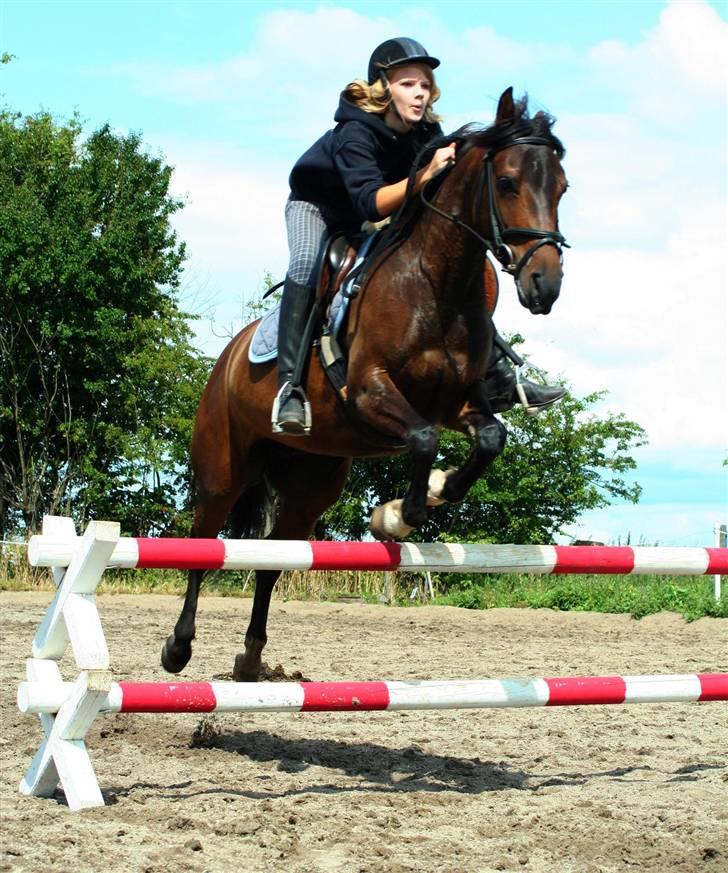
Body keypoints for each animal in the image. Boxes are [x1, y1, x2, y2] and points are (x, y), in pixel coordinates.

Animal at [161, 88, 568, 676]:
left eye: (562, 187)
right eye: (509, 182)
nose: (545, 285)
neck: (435, 281)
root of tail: (228, 356)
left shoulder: (458, 404)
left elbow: (490, 437)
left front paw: (428, 495)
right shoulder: (370, 391)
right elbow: (423, 438)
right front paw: (399, 515)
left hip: (311, 483)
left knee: (272, 562)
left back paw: (251, 661)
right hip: (223, 467)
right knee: (202, 543)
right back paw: (178, 648)